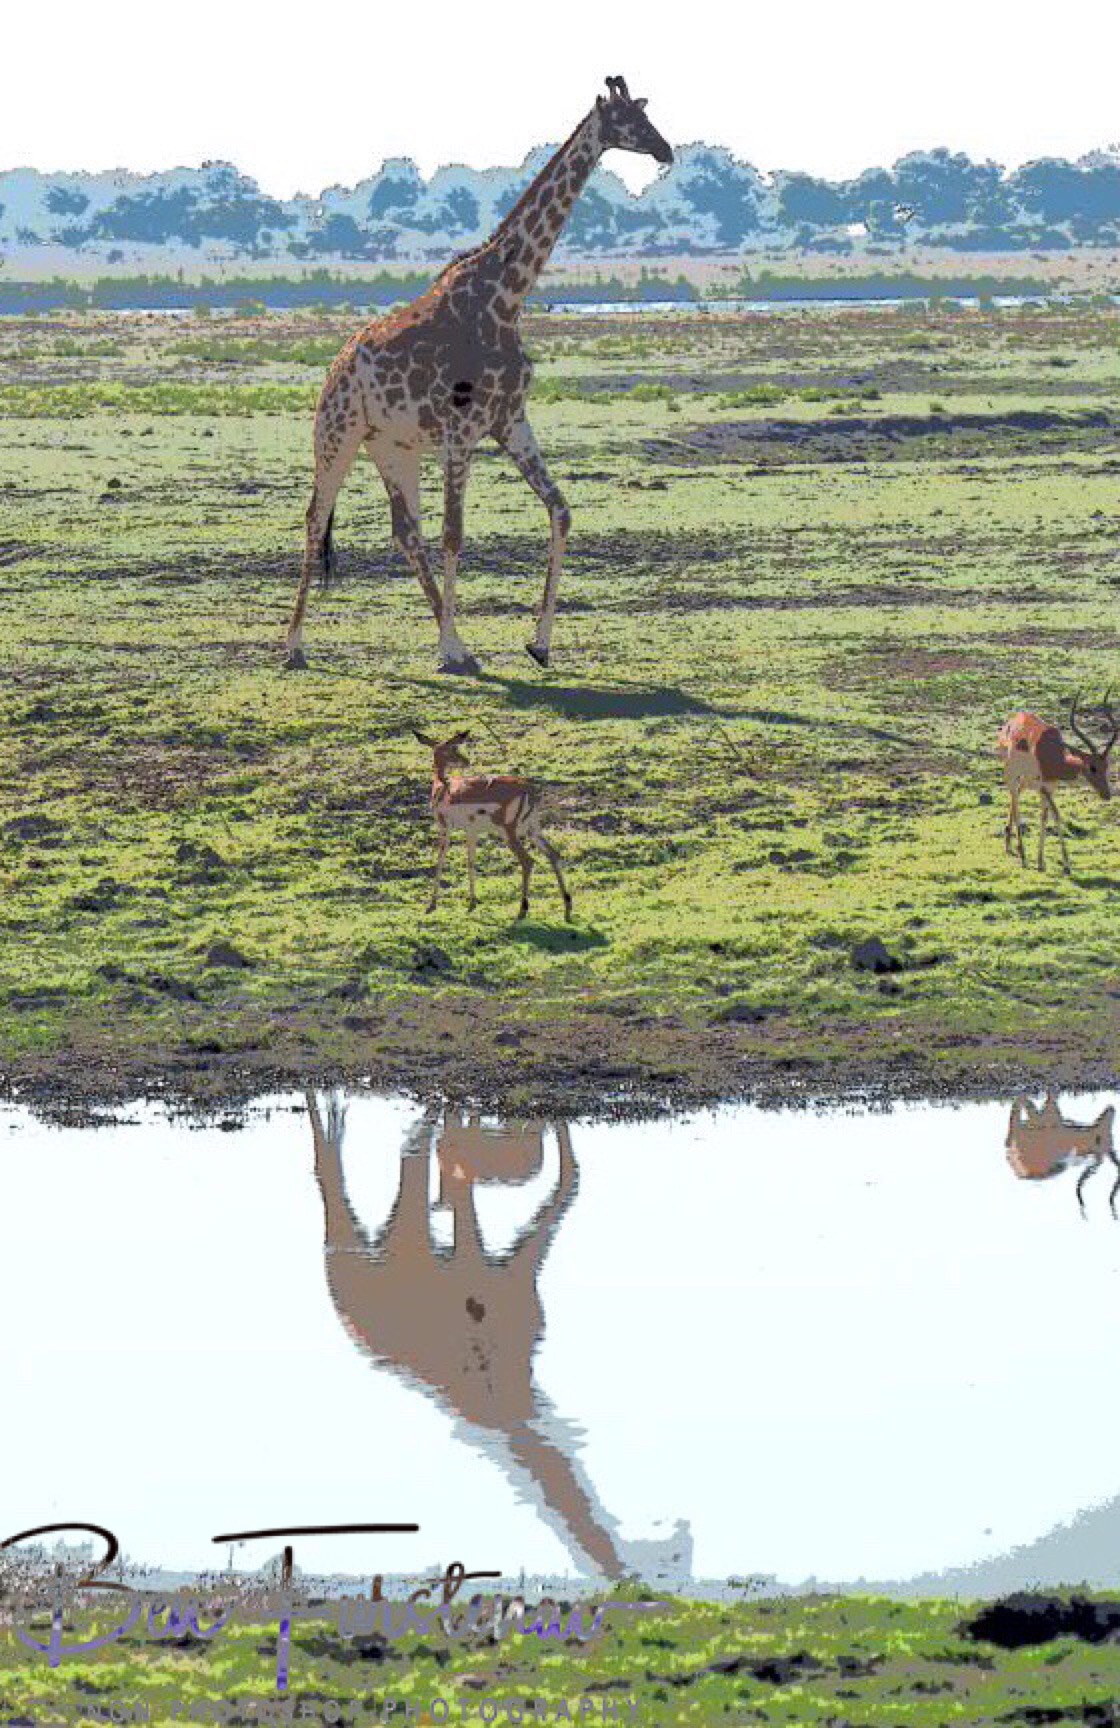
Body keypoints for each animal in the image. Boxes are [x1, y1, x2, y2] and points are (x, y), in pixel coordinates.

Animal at [284, 77, 673, 676]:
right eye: (628, 121)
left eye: (648, 115)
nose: (665, 150)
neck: (508, 297)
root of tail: (336, 366)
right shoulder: (460, 432)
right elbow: (454, 534)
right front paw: (450, 649)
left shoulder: (510, 419)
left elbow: (560, 512)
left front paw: (537, 644)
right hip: (337, 434)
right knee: (314, 518)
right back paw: (296, 647)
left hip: (392, 447)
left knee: (405, 531)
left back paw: (461, 644)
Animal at [412, 728, 573, 921]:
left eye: (455, 747)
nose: (466, 761)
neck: (442, 788)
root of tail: (529, 789)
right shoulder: (471, 831)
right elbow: (471, 861)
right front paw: (472, 902)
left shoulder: (445, 828)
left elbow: (440, 860)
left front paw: (431, 905)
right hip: (532, 830)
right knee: (553, 855)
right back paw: (567, 908)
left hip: (509, 833)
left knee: (528, 861)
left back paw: (523, 910)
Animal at [996, 693, 1118, 873]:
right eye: (1092, 767)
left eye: (1106, 766)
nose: (1106, 795)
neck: (1051, 753)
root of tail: (1012, 721)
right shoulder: (1044, 787)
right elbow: (1057, 815)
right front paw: (1066, 864)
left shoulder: (1050, 787)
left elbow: (1045, 817)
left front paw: (1041, 862)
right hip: (1011, 775)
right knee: (1015, 802)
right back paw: (1023, 857)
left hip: (1025, 780)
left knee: (1016, 796)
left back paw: (1009, 845)